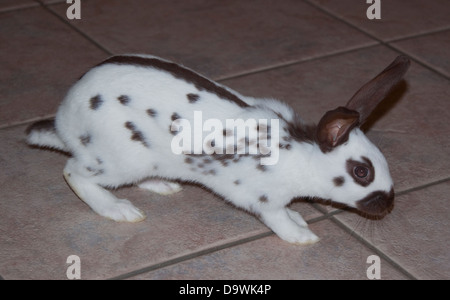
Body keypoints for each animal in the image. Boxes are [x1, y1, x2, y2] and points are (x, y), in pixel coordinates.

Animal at [26, 54, 410, 244]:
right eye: (361, 171)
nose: (388, 204)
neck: (301, 154)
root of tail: (65, 122)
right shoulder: (263, 199)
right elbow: (277, 219)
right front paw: (302, 235)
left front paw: (300, 217)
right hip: (117, 159)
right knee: (74, 173)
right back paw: (119, 210)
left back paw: (163, 186)